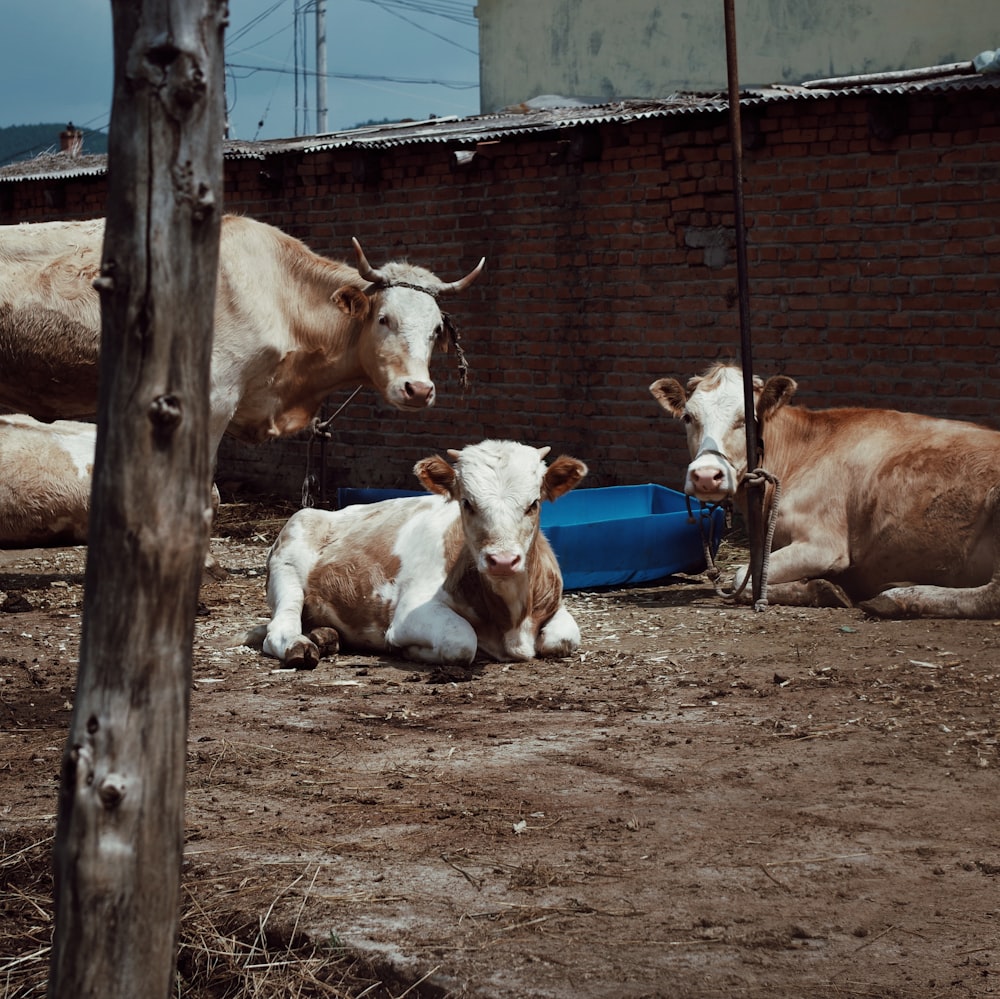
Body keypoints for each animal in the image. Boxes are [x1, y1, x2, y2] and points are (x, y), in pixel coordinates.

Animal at [254, 440, 588, 668]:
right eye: (467, 502)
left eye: (534, 503)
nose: (503, 561)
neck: (512, 625)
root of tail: (325, 511)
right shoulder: (409, 615)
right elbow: (462, 641)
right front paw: (410, 651)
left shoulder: (554, 605)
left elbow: (563, 638)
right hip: (288, 561)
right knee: (280, 626)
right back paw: (301, 645)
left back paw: (325, 637)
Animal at [652, 364, 1000, 620]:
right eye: (688, 416)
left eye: (747, 419)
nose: (706, 476)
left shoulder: (823, 544)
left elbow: (742, 576)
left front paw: (823, 589)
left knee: (992, 595)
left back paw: (896, 598)